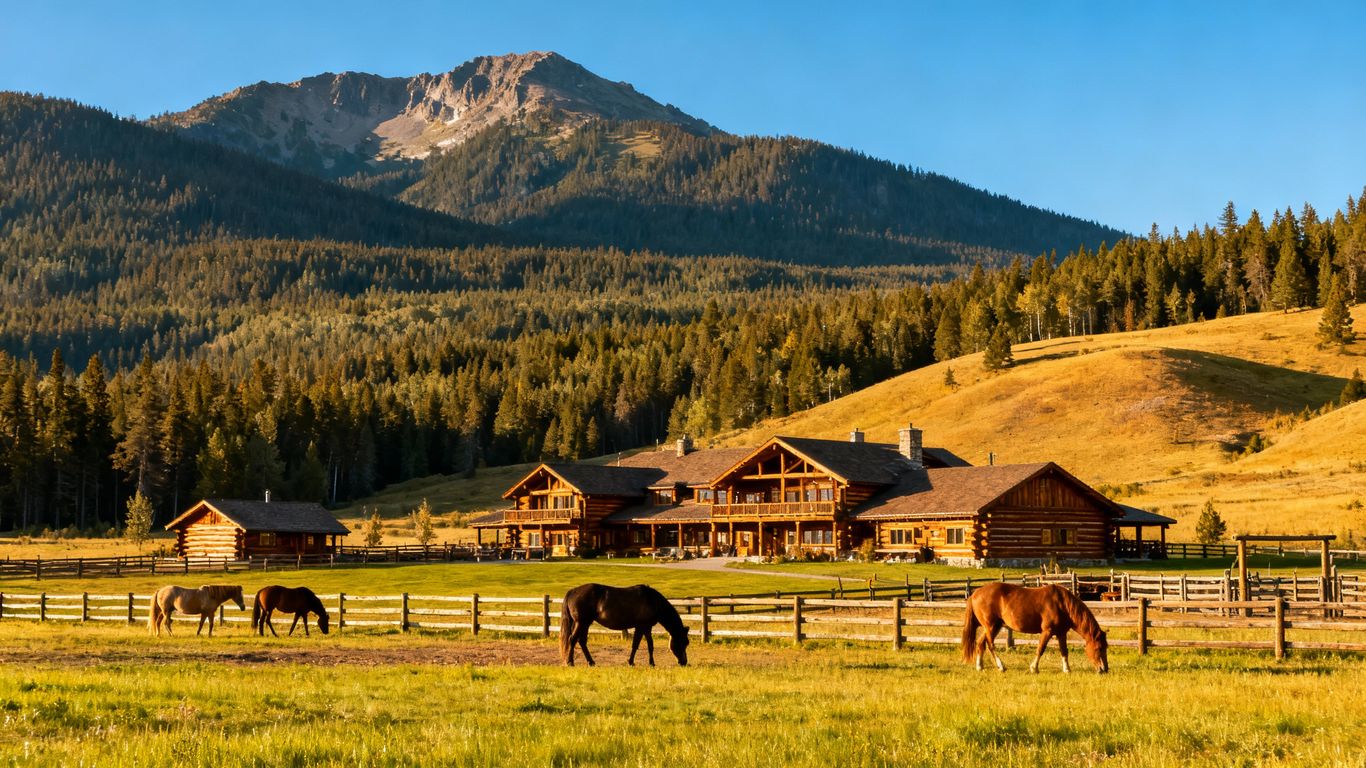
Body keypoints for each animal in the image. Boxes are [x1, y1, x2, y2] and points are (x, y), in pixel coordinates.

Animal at [560, 583, 689, 667]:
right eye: (683, 642)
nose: (684, 662)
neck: (652, 601)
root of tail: (573, 591)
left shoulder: (647, 627)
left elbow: (650, 645)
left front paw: (651, 663)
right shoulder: (641, 627)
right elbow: (635, 645)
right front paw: (631, 662)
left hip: (585, 623)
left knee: (581, 641)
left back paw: (591, 662)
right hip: (581, 622)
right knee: (572, 639)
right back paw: (570, 662)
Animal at [961, 583, 1109, 674]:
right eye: (1098, 648)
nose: (1104, 669)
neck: (1062, 604)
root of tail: (975, 593)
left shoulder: (1061, 633)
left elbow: (1064, 651)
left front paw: (1067, 669)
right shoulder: (1047, 631)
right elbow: (1040, 649)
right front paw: (1034, 668)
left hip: (993, 627)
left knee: (981, 643)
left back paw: (980, 666)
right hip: (991, 627)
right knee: (991, 645)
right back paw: (1001, 666)